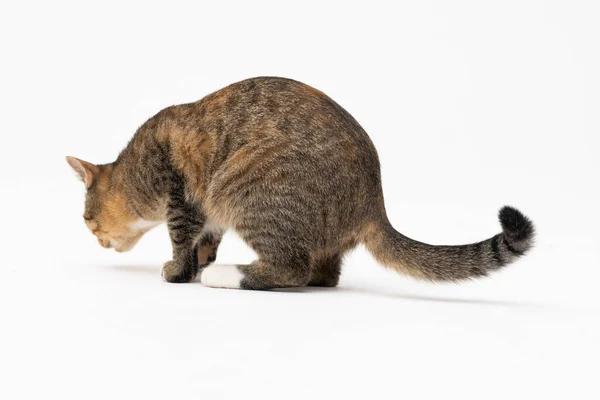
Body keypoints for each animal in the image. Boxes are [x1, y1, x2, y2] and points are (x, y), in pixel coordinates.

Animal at [65, 76, 536, 290]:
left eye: (87, 220)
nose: (95, 239)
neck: (134, 169)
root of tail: (373, 201)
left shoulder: (183, 194)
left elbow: (182, 240)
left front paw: (181, 271)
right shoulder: (207, 212)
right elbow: (205, 240)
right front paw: (199, 261)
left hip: (243, 187)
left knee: (293, 269)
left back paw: (227, 275)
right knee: (322, 275)